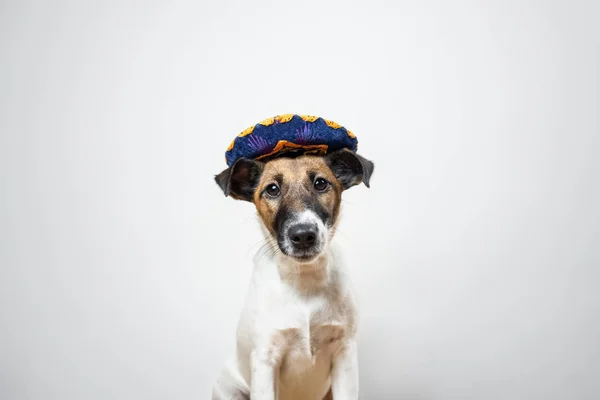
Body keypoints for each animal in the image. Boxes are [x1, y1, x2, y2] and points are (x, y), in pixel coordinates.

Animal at [211, 148, 370, 398]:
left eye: (320, 183)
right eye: (272, 189)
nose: (303, 235)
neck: (303, 281)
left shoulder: (345, 354)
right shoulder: (265, 361)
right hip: (229, 388)